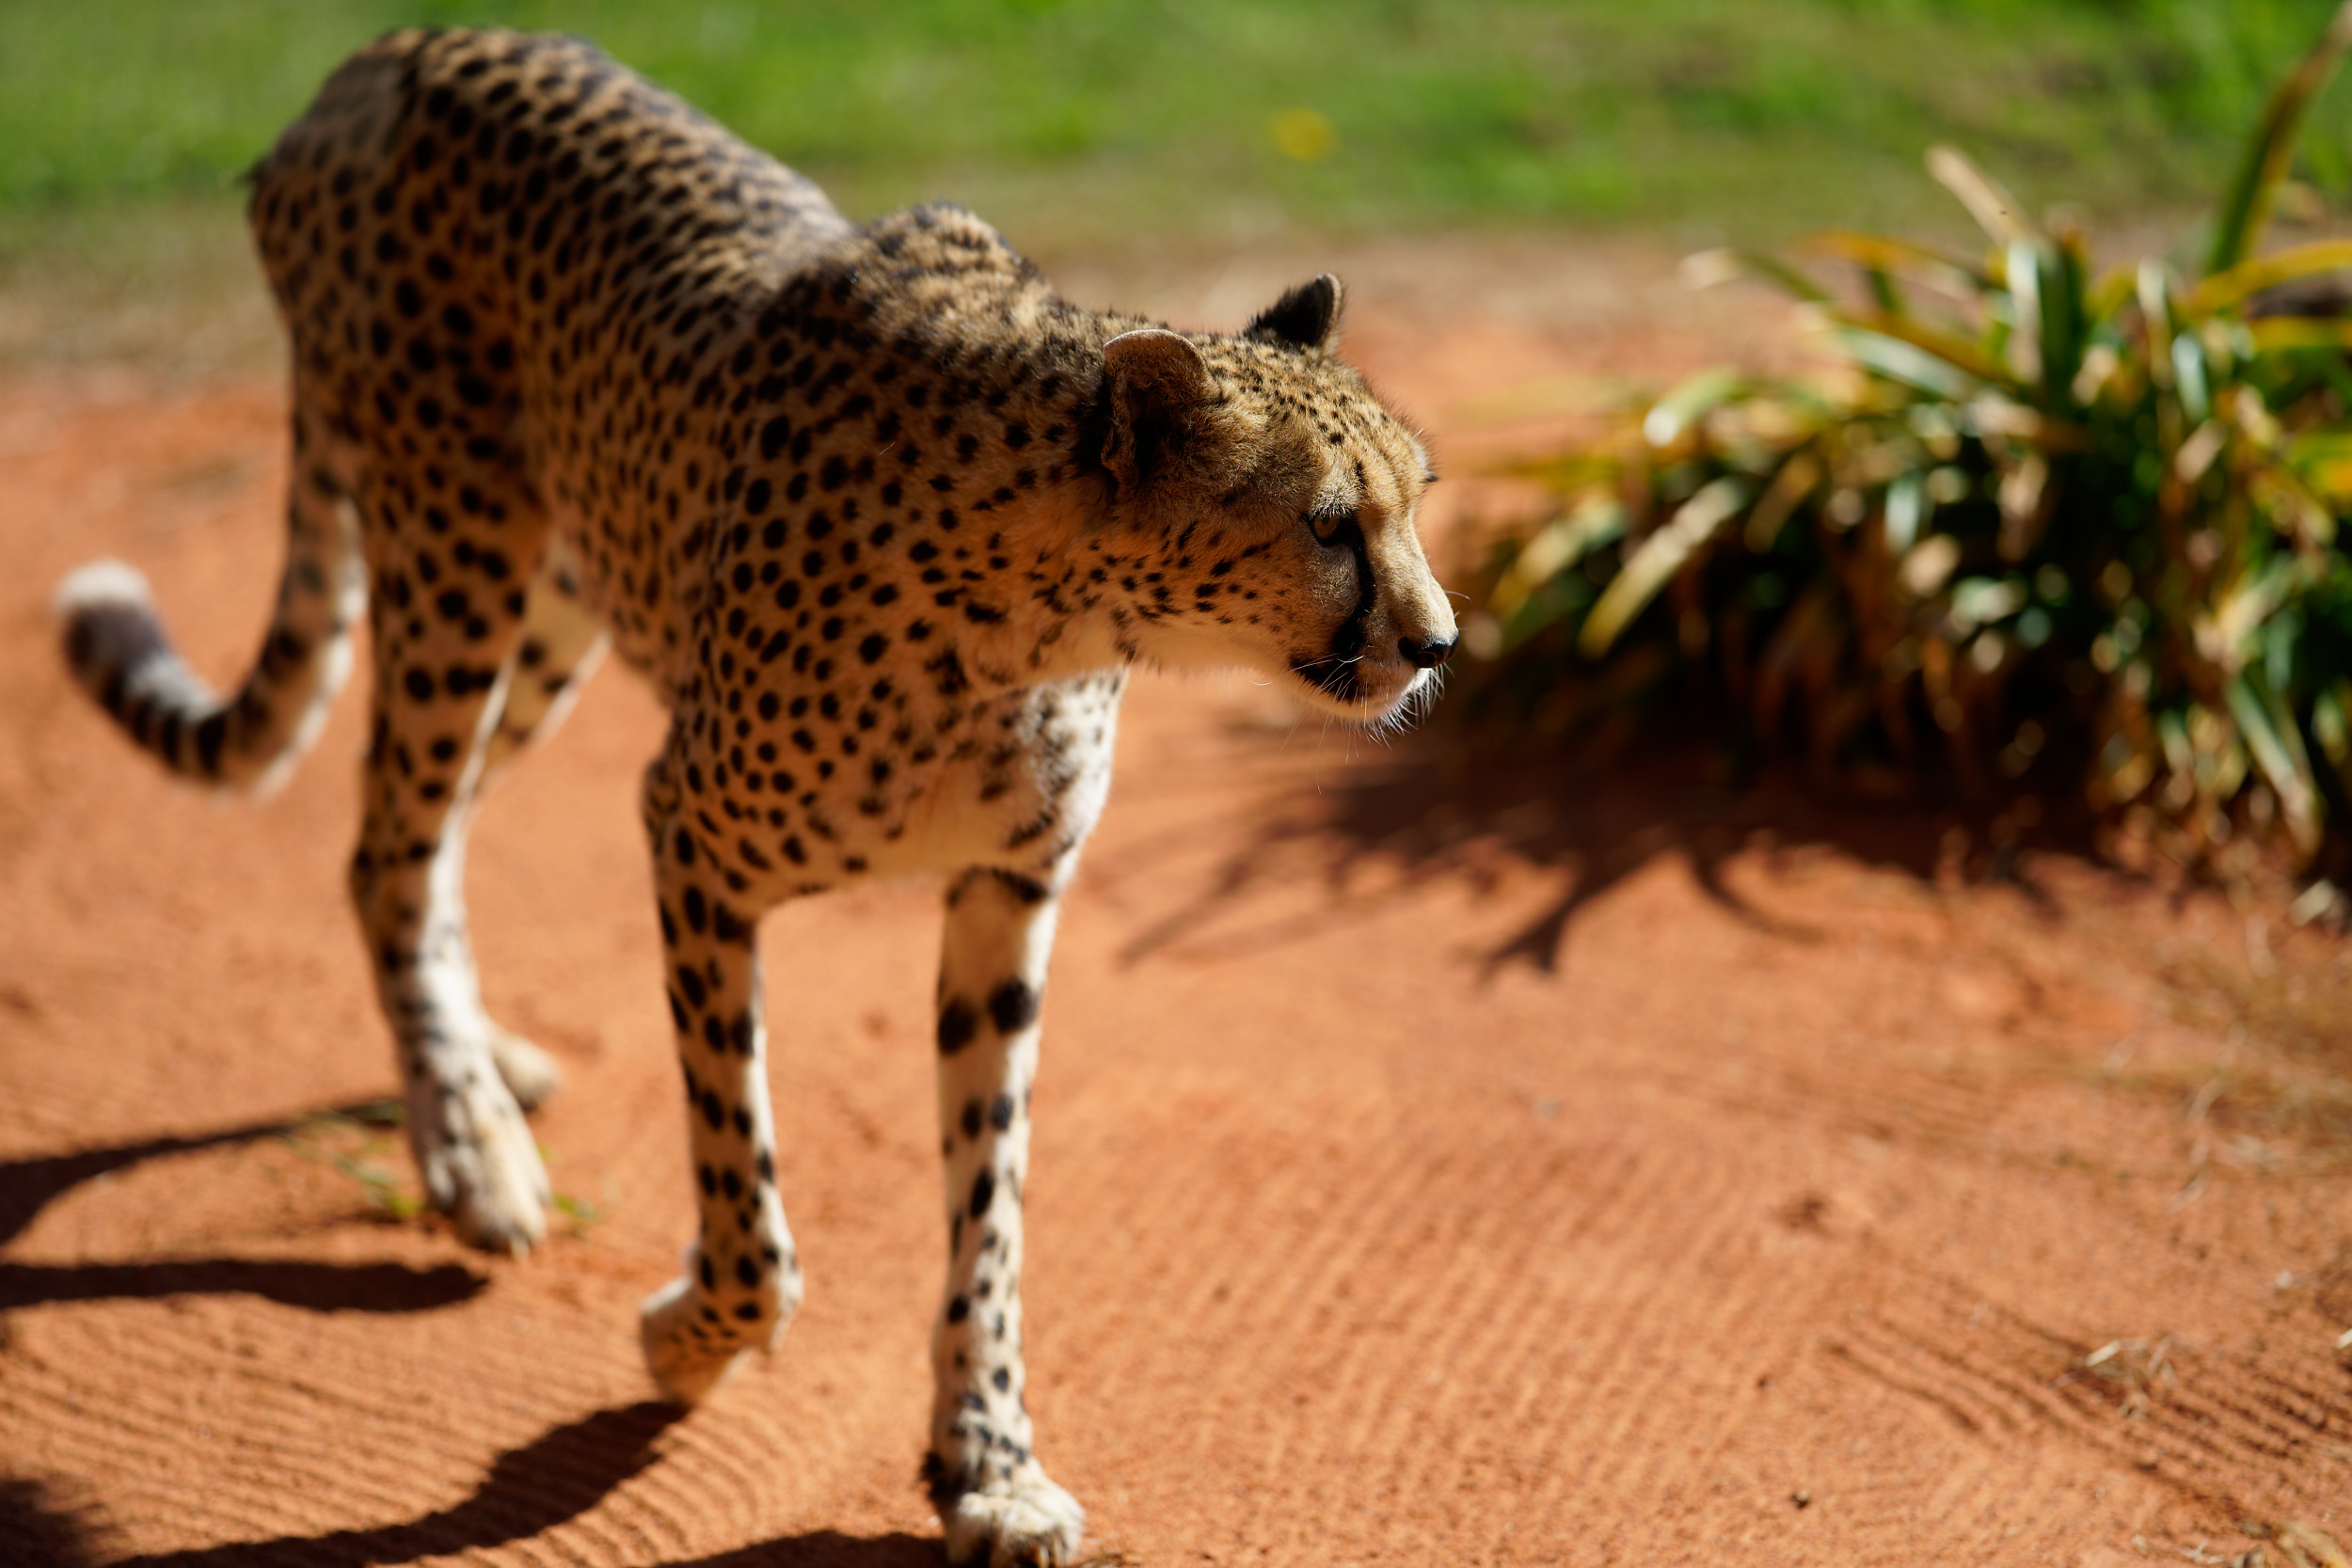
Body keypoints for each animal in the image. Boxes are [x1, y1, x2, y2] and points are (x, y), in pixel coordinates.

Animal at [55, 27, 1449, 1568]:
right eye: (1329, 525)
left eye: (1420, 499)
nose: (1440, 643)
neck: (1041, 606)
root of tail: (399, 49)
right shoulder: (691, 840)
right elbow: (753, 1212)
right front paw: (684, 1340)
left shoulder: (1005, 895)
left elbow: (989, 1210)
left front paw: (990, 1462)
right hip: (455, 556)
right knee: (389, 843)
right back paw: (469, 1143)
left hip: (558, 603)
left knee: (429, 833)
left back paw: (486, 1068)